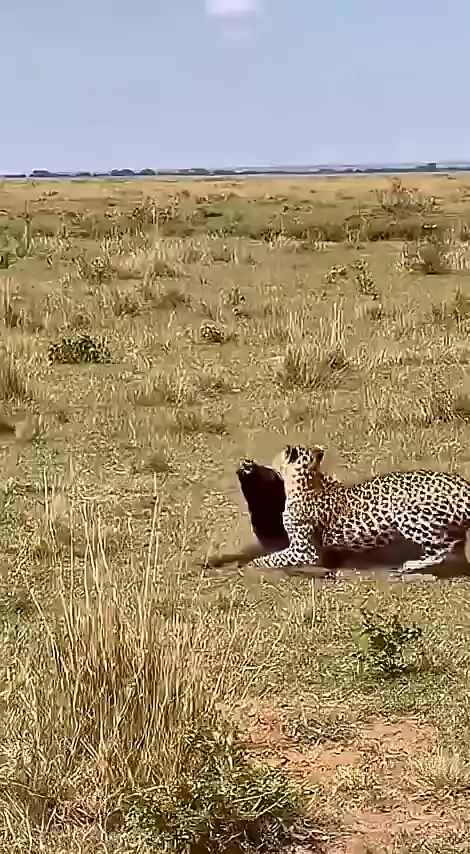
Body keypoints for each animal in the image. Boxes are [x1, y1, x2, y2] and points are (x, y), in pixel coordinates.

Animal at [251, 444, 470, 574]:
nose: (269, 461)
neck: (308, 480)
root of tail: (461, 483)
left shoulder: (304, 550)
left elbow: (271, 558)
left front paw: (250, 566)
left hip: (408, 517)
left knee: (444, 547)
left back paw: (411, 565)